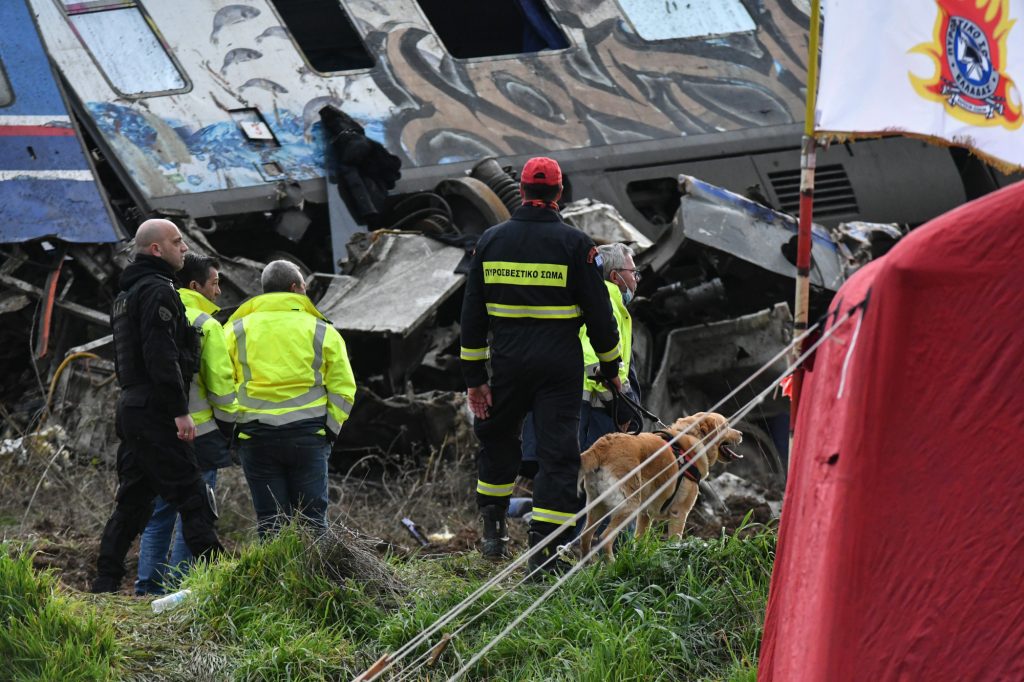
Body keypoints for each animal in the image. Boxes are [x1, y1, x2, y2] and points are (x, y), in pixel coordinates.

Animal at [577, 409, 745, 557]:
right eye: (726, 425)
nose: (741, 434)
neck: (695, 439)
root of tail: (604, 445)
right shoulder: (679, 513)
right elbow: (675, 542)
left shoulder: (645, 515)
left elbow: (639, 542)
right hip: (628, 505)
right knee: (604, 539)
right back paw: (611, 564)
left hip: (598, 506)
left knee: (585, 536)